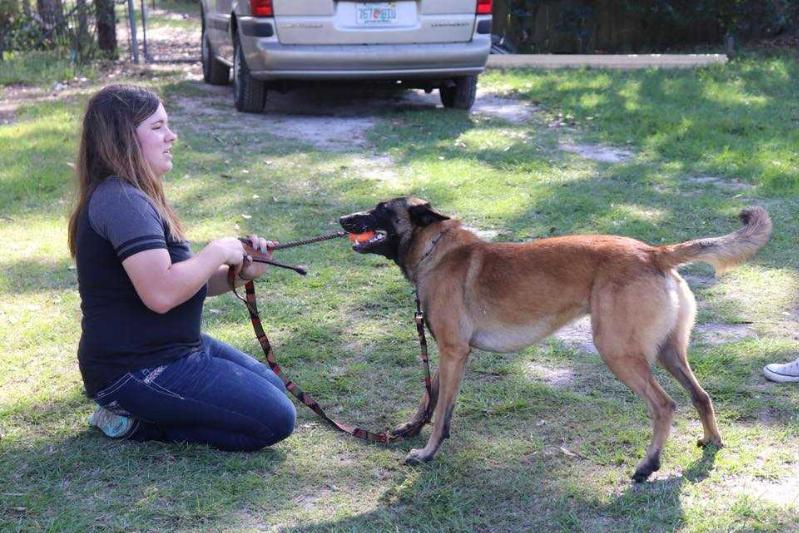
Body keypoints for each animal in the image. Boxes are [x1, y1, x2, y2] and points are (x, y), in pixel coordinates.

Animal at [340, 197, 772, 480]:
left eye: (380, 209)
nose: (343, 218)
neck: (436, 250)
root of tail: (654, 252)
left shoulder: (451, 352)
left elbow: (440, 407)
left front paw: (427, 452)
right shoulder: (451, 356)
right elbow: (431, 401)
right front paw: (411, 430)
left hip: (618, 352)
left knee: (664, 405)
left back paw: (647, 466)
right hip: (669, 352)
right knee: (701, 396)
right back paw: (712, 442)